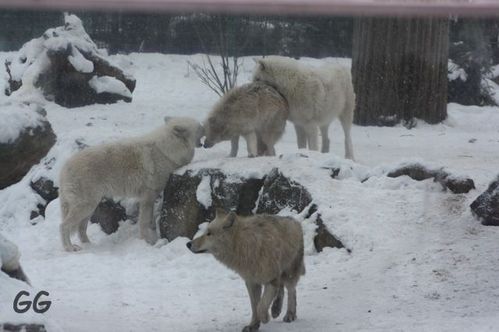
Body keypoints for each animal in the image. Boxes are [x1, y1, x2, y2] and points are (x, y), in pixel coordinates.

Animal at [59, 116, 204, 252]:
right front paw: (147, 242)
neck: (166, 150)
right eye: (199, 127)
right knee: (63, 226)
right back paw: (70, 248)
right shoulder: (147, 197)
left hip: (90, 208)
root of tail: (64, 168)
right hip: (86, 206)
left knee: (81, 228)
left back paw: (89, 245)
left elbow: (149, 222)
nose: (205, 126)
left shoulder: (150, 197)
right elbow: (144, 222)